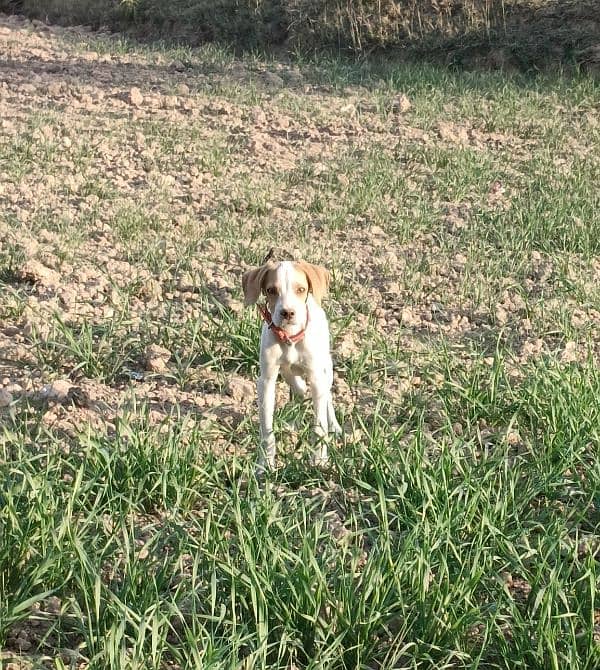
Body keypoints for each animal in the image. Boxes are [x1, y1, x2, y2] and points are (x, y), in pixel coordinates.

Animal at [241, 258, 340, 472]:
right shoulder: (266, 381)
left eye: (300, 289)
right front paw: (265, 465)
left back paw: (334, 426)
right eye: (271, 290)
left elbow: (319, 426)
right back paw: (293, 422)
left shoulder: (316, 378)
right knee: (300, 390)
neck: (290, 338)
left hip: (325, 368)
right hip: (287, 373)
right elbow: (267, 431)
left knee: (326, 396)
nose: (287, 312)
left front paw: (319, 460)